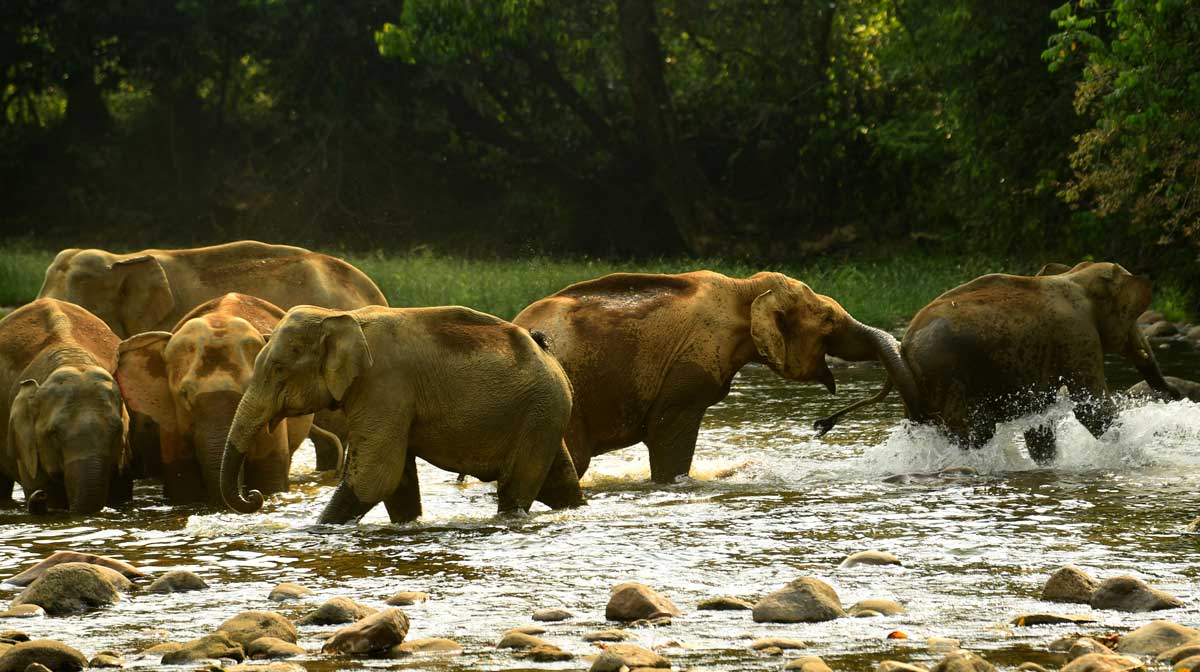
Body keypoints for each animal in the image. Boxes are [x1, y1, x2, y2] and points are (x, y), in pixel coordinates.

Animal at [114, 293, 343, 505]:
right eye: (184, 394)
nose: (252, 496)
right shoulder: (171, 420)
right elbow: (183, 487)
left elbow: (269, 477)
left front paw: (262, 492)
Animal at [219, 305, 584, 523]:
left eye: (278, 370)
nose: (253, 497)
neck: (341, 316)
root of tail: (547, 350)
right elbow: (398, 482)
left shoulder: (385, 387)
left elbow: (376, 476)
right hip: (544, 414)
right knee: (560, 483)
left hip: (539, 412)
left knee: (515, 489)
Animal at [815, 261, 1181, 464]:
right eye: (1132, 318)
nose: (1176, 395)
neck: (1076, 275)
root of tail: (902, 345)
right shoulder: (1076, 334)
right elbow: (1091, 407)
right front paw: (1137, 456)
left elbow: (1040, 418)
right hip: (947, 377)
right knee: (972, 431)